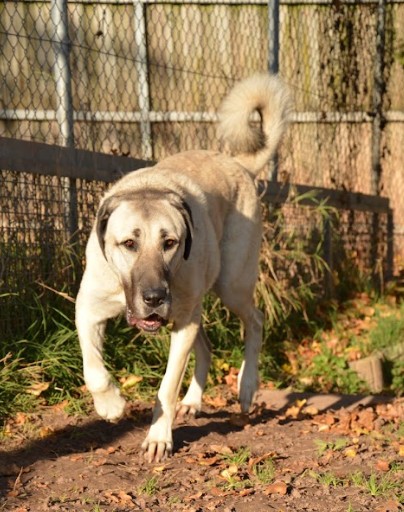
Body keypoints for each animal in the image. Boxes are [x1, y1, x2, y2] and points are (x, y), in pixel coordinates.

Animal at [75, 73, 291, 462]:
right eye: (128, 243)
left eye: (170, 242)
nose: (154, 297)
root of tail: (238, 164)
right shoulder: (88, 308)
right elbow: (93, 369)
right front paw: (111, 405)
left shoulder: (182, 321)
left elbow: (165, 388)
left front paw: (158, 437)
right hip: (197, 308)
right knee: (205, 345)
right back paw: (193, 400)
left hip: (230, 285)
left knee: (254, 321)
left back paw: (246, 388)